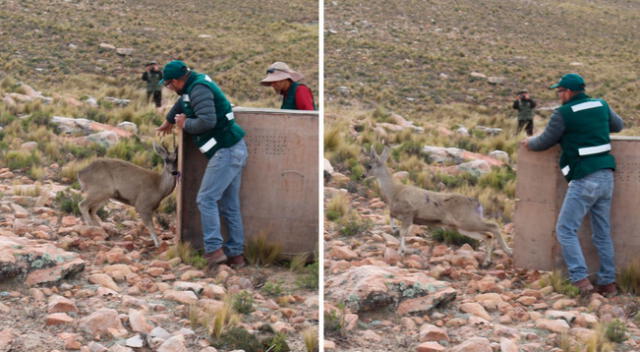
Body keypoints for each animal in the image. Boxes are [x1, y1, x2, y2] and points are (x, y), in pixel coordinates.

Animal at [364, 146, 510, 266]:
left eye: (369, 166)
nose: (363, 176)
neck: (394, 191)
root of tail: (477, 204)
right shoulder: (400, 213)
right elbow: (392, 217)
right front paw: (396, 233)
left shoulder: (409, 213)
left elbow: (402, 232)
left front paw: (402, 251)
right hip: (463, 227)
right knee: (487, 235)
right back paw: (487, 261)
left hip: (468, 221)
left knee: (493, 226)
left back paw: (508, 251)